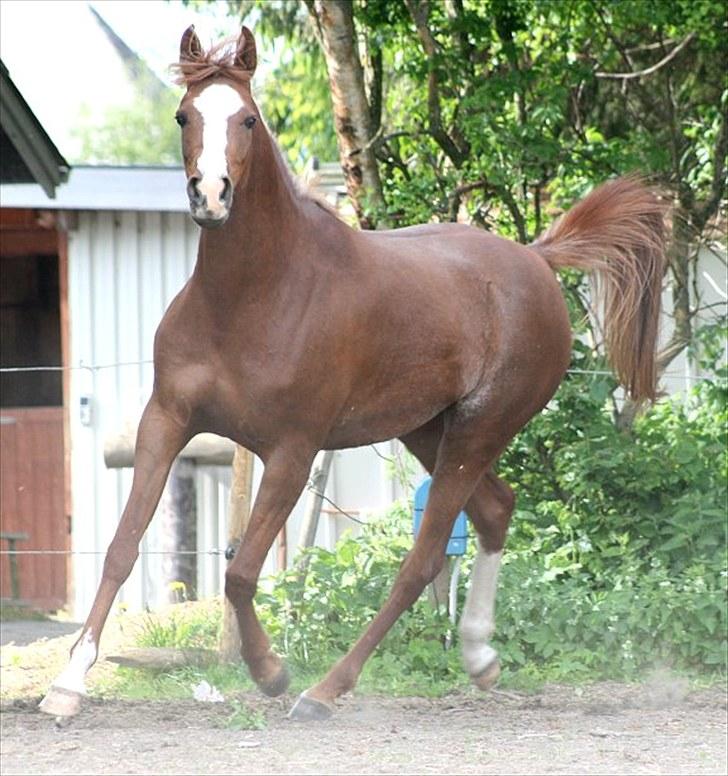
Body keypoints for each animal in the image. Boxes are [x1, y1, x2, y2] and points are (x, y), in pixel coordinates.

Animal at [41, 25, 664, 720]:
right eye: (184, 115)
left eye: (248, 119)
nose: (211, 195)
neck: (251, 297)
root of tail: (537, 259)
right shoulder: (168, 419)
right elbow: (123, 547)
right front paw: (68, 683)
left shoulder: (292, 449)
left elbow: (240, 571)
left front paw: (271, 673)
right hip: (429, 429)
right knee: (496, 511)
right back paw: (479, 657)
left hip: (480, 429)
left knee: (422, 560)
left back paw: (324, 690)